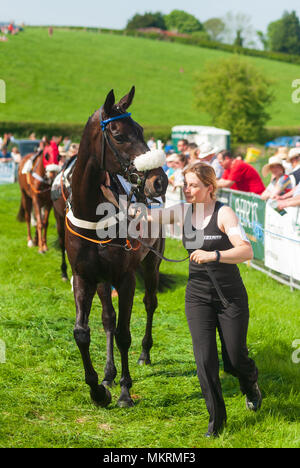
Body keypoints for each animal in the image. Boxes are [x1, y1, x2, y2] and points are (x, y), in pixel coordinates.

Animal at [64, 87, 169, 406]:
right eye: (120, 136)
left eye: (142, 130)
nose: (159, 180)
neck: (93, 214)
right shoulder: (85, 276)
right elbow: (83, 332)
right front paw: (98, 388)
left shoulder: (125, 277)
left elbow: (124, 333)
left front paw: (124, 390)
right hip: (102, 279)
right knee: (108, 320)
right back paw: (108, 374)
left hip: (151, 263)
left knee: (149, 303)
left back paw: (144, 353)